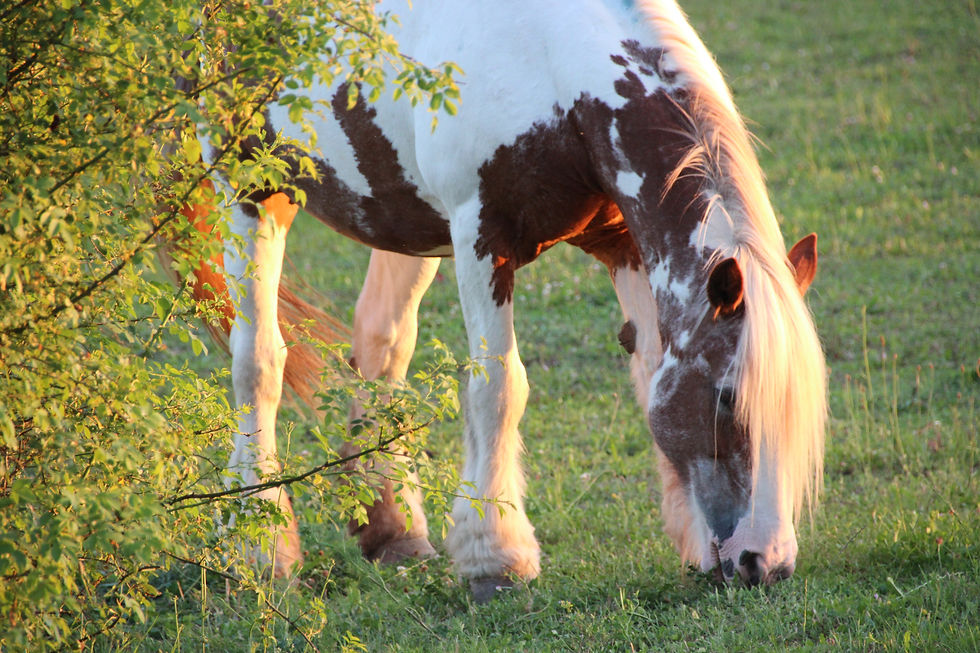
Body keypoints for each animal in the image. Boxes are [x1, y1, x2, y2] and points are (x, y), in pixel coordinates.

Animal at [184, 0, 826, 601]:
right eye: (727, 397)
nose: (766, 562)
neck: (553, 69)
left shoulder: (626, 241)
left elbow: (650, 375)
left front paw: (690, 543)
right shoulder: (479, 235)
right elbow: (497, 389)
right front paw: (496, 558)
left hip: (402, 221)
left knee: (380, 351)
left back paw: (391, 529)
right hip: (250, 189)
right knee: (258, 361)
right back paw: (257, 546)